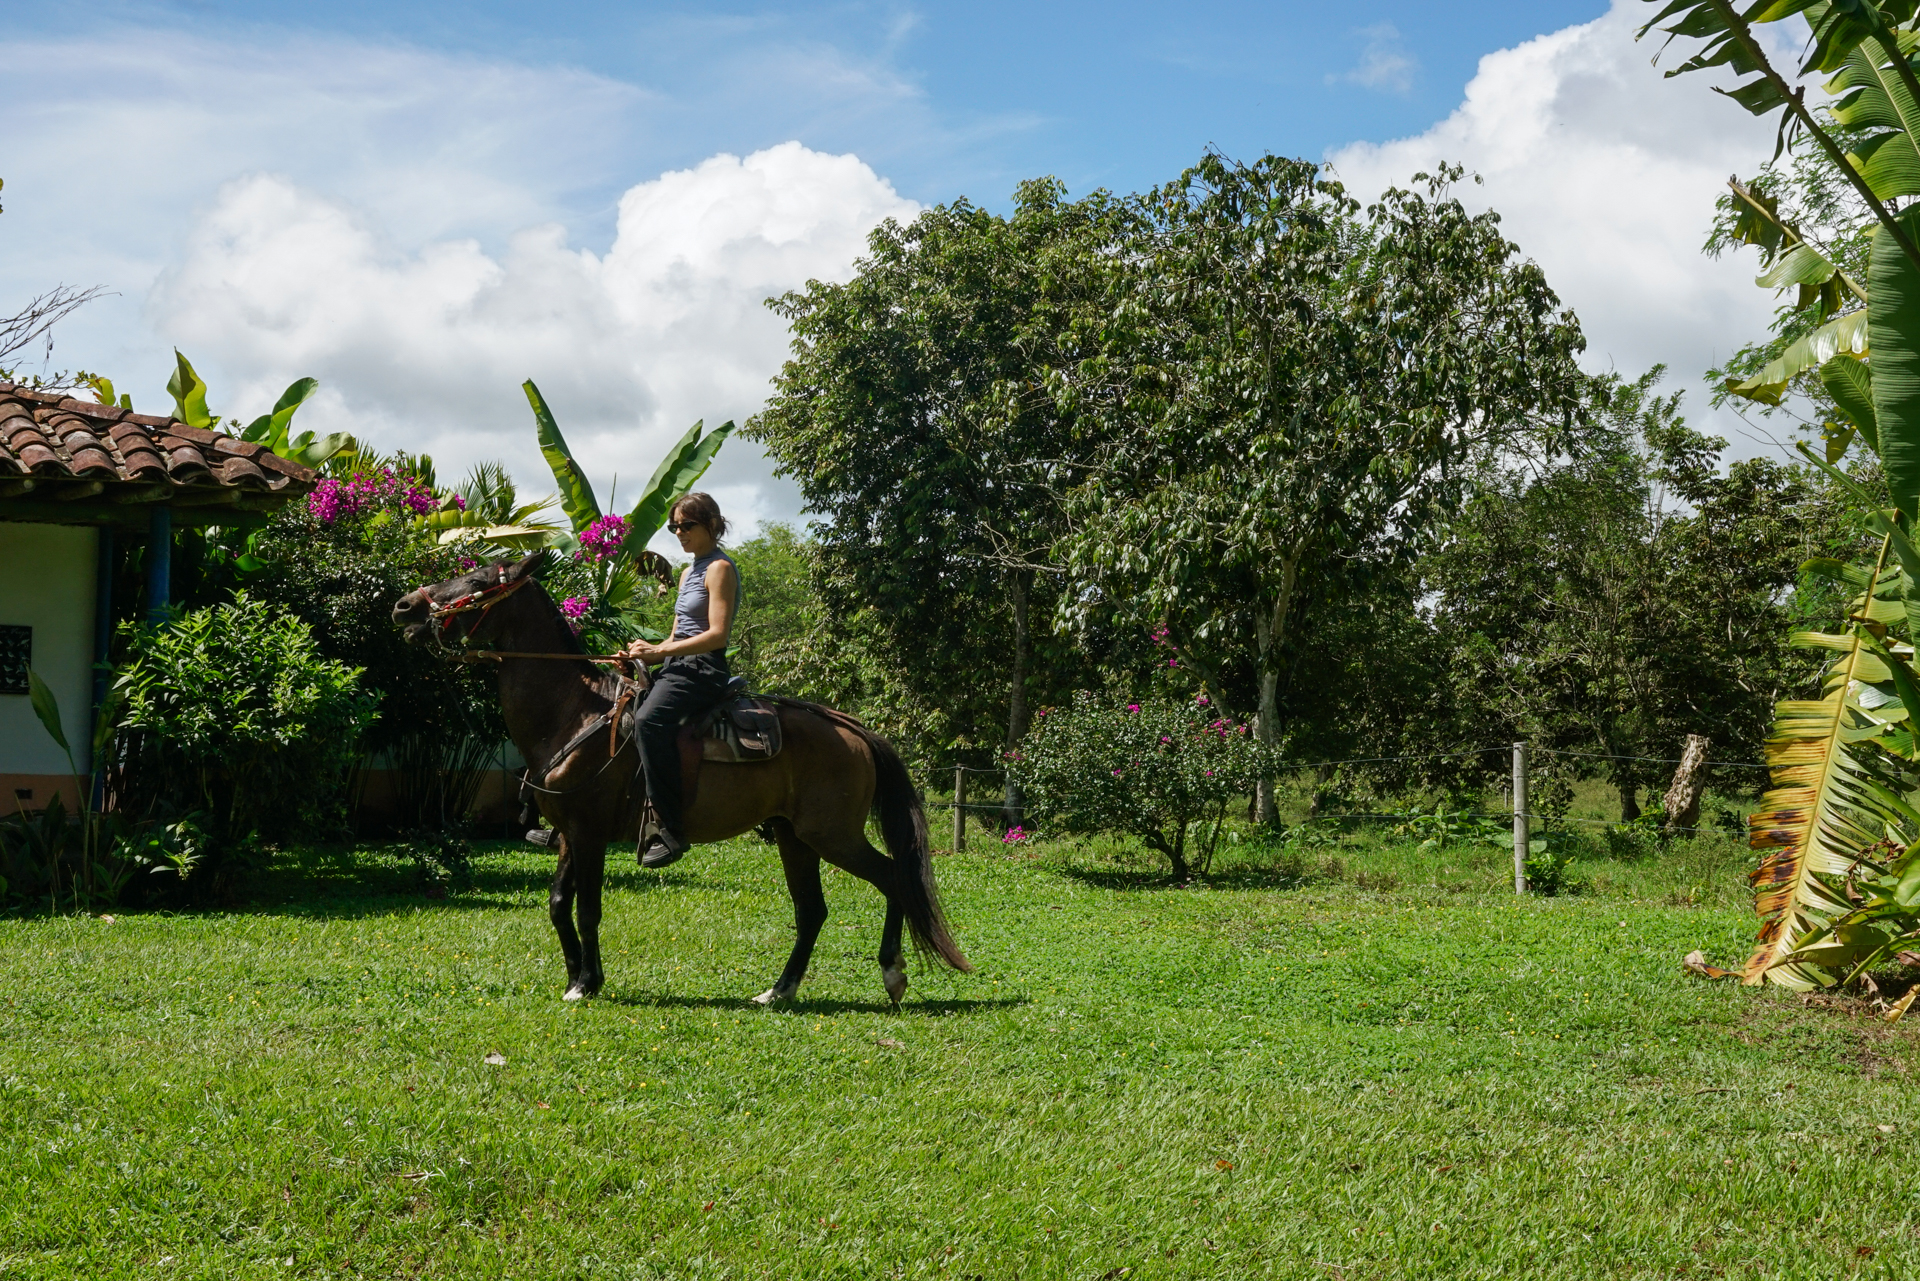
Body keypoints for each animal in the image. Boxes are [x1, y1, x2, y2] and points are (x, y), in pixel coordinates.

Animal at [389, 556, 967, 1006]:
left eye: (477, 579)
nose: (405, 607)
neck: (575, 713)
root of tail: (852, 728)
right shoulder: (570, 834)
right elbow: (557, 905)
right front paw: (576, 976)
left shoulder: (590, 832)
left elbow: (588, 908)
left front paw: (589, 983)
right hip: (793, 836)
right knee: (812, 911)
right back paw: (779, 991)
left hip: (831, 834)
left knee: (891, 877)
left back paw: (892, 974)